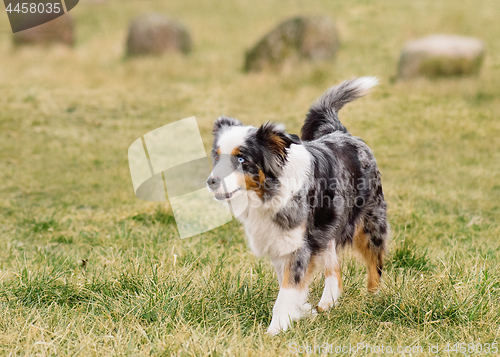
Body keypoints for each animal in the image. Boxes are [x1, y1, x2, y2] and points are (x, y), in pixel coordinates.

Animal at [205, 76, 388, 336]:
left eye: (241, 159)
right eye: (217, 157)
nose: (211, 181)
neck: (269, 193)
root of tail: (341, 132)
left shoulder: (300, 245)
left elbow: (287, 290)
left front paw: (275, 330)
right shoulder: (280, 241)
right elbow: (292, 285)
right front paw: (302, 311)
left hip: (369, 222)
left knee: (374, 262)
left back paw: (373, 299)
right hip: (327, 226)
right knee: (335, 268)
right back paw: (326, 304)